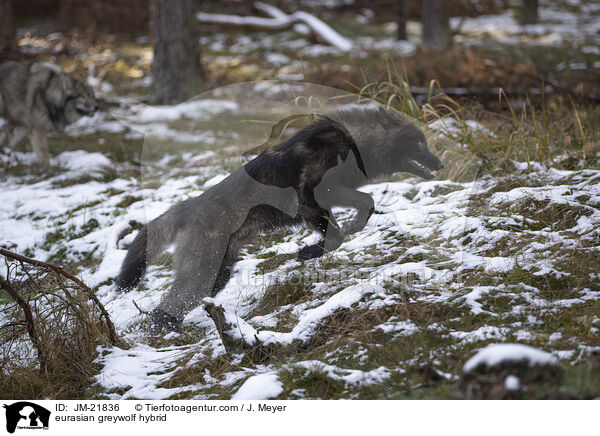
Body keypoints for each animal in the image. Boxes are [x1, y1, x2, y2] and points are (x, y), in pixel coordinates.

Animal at [118, 107, 446, 332]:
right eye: (419, 144)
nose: (441, 163)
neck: (353, 143)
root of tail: (188, 206)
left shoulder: (327, 200)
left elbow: (364, 208)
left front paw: (339, 234)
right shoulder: (311, 199)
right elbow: (342, 229)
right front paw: (311, 251)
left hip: (218, 275)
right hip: (202, 272)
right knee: (167, 306)